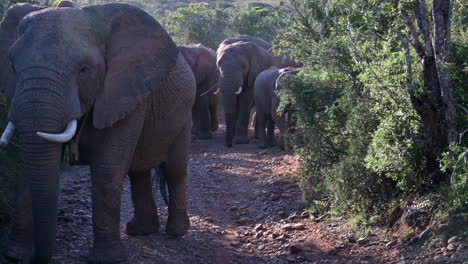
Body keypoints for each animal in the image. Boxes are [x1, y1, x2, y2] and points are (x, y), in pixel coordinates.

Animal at [0, 3, 196, 262]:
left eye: (84, 70)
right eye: (12, 66)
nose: (40, 258)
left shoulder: (124, 89)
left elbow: (107, 168)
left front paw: (107, 258)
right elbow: (31, 168)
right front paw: (15, 254)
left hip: (185, 115)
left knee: (175, 170)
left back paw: (175, 232)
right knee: (138, 171)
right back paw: (140, 231)